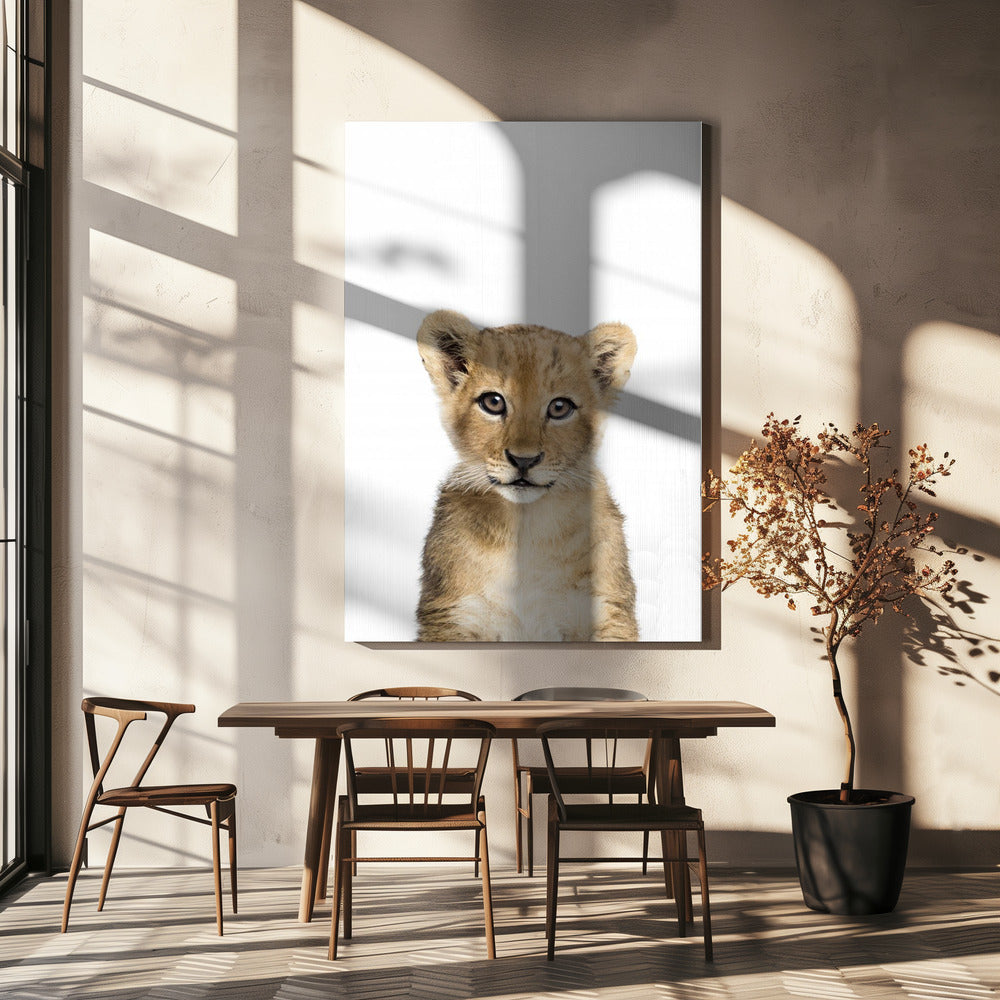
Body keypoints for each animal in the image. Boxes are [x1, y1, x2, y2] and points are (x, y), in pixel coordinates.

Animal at [415, 310, 639, 642]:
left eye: (559, 407)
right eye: (493, 402)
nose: (524, 460)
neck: (526, 525)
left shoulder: (608, 611)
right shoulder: (452, 614)